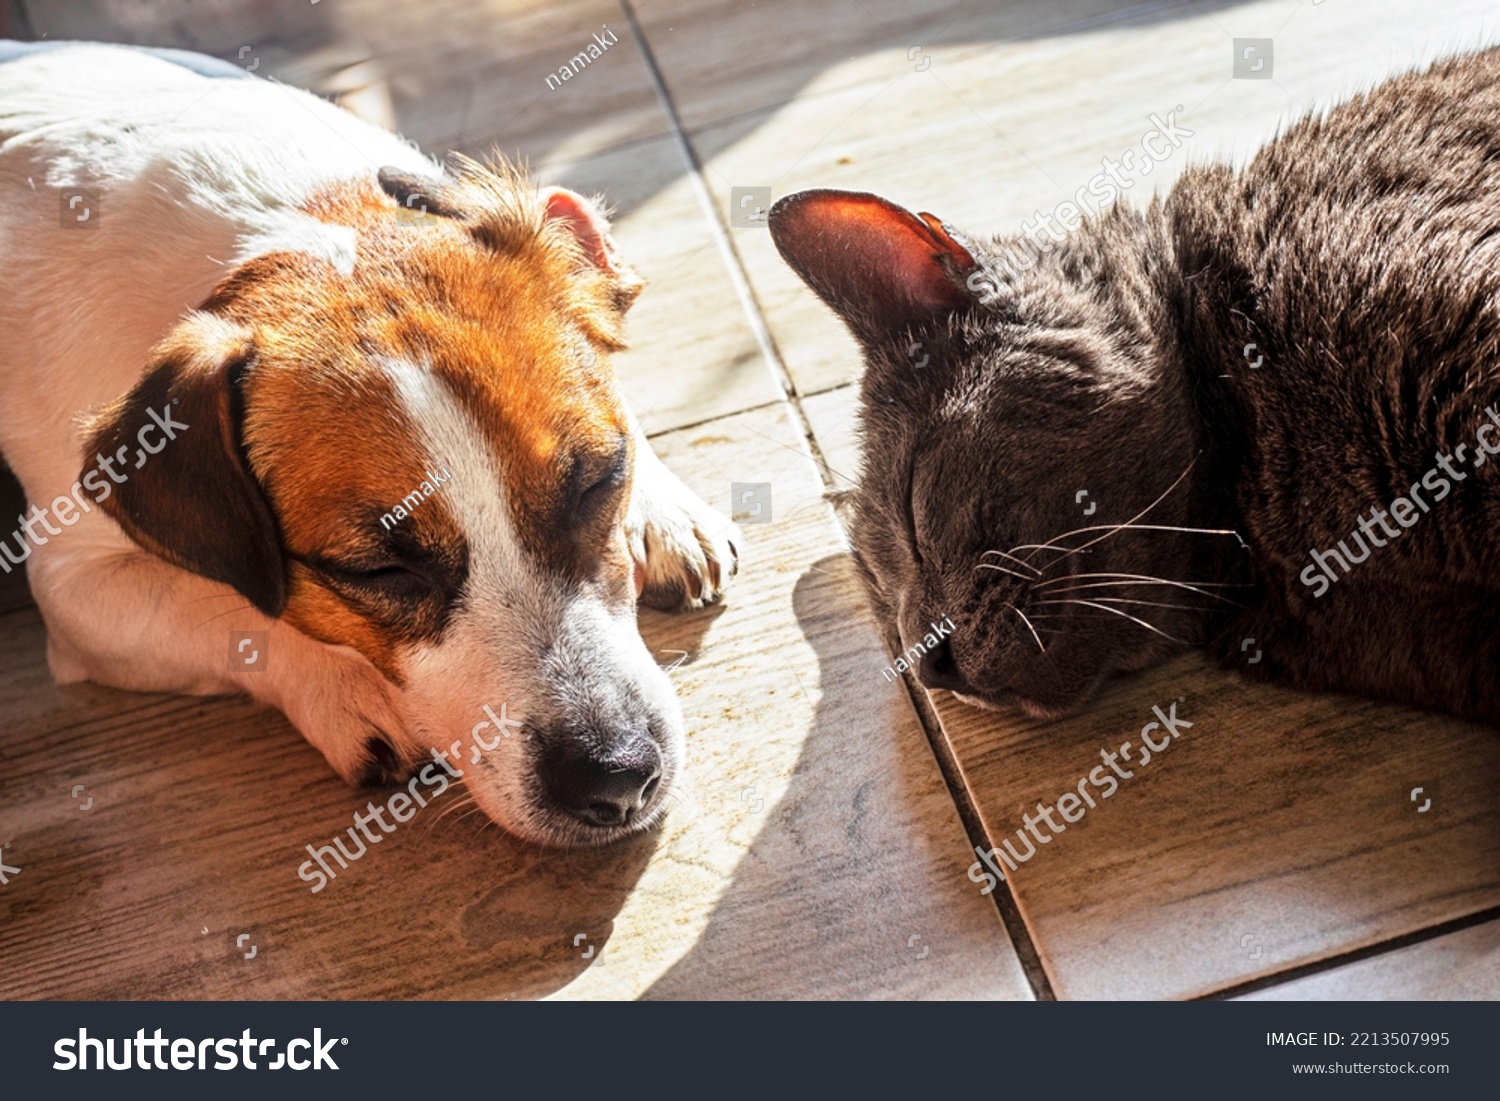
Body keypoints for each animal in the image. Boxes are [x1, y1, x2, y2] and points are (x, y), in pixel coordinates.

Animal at [0, 43, 738, 852]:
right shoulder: (75, 589)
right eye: (378, 569)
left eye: (600, 481)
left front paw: (662, 508)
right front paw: (344, 683)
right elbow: (231, 609)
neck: (287, 223)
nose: (616, 776)